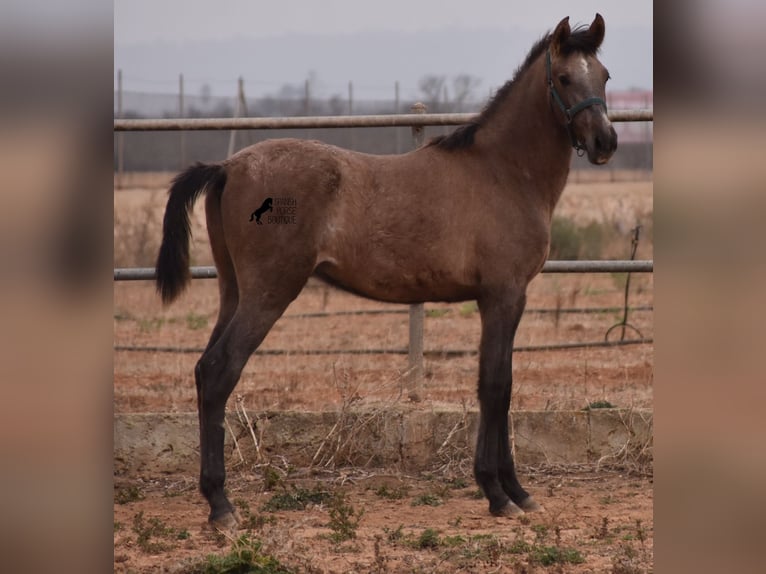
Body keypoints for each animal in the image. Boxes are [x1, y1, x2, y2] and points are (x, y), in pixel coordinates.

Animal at [154, 13, 616, 532]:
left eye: (604, 76)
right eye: (565, 78)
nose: (606, 142)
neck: (504, 172)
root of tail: (228, 166)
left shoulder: (501, 299)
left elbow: (501, 384)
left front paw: (513, 490)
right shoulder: (503, 296)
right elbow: (496, 385)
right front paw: (500, 493)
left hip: (233, 291)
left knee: (202, 370)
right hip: (267, 294)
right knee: (219, 372)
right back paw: (221, 505)